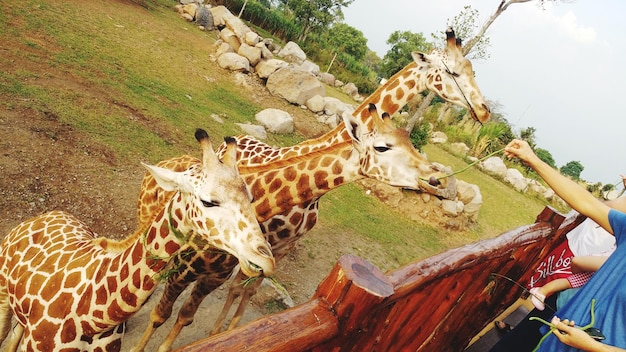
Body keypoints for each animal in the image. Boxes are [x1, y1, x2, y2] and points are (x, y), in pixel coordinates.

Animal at [0, 129, 272, 352]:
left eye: (250, 197)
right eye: (208, 201)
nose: (266, 260)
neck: (92, 319)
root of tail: (49, 214)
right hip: (3, 292)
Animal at [129, 28, 486, 352]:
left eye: (472, 68)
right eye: (452, 71)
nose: (483, 110)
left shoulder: (277, 249)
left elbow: (240, 291)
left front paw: (226, 333)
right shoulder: (209, 263)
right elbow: (169, 311)